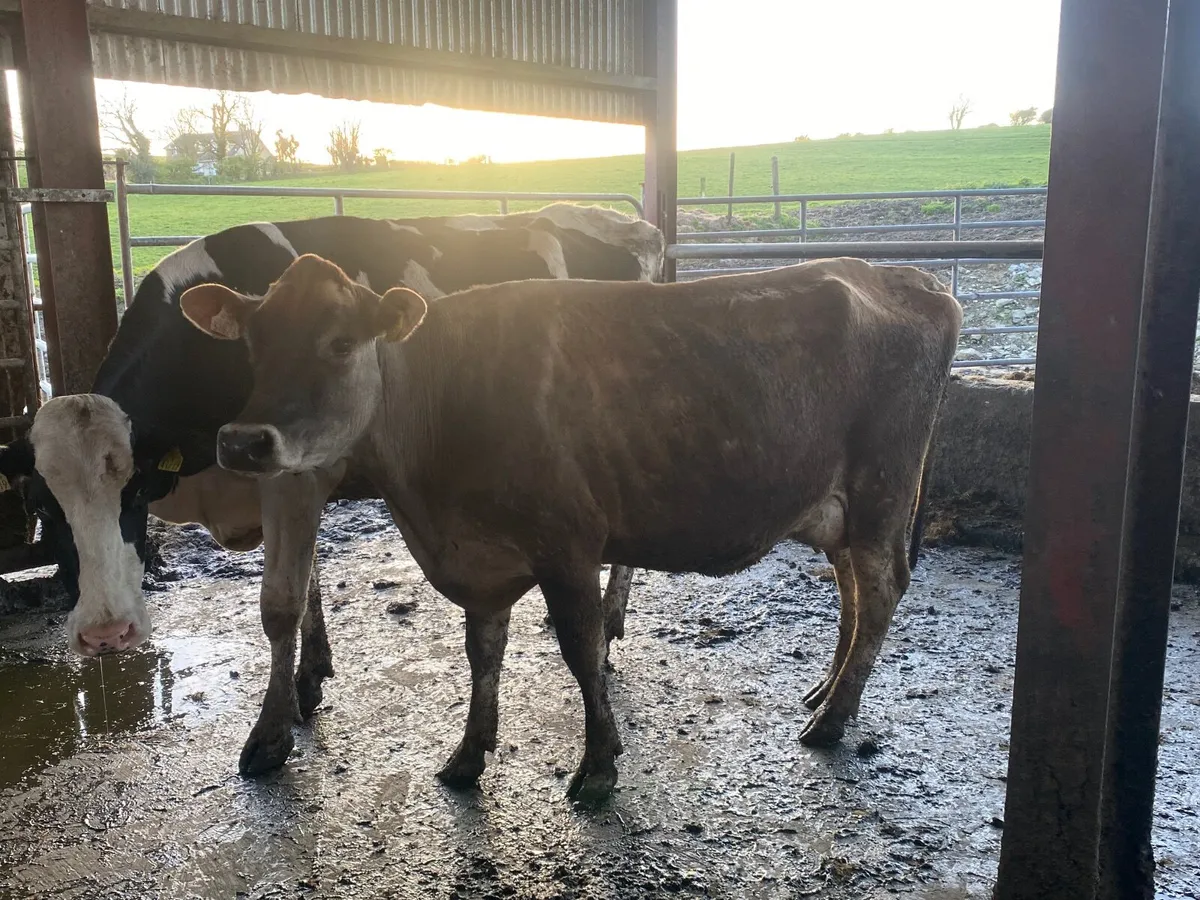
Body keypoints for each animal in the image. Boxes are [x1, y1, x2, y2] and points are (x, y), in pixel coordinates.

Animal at [0, 204, 660, 772]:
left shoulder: (294, 471)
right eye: (41, 507)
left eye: (136, 492)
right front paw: (309, 675)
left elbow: (279, 603)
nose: (106, 634)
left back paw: (609, 618)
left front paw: (269, 734)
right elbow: (309, 581)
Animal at [177, 253, 962, 802]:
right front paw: (468, 755)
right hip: (842, 508)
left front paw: (598, 767)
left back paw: (831, 722)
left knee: (881, 589)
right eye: (252, 343)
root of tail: (905, 276)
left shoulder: (569, 545)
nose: (243, 443)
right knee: (853, 589)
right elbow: (483, 653)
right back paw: (826, 694)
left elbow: (582, 654)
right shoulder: (482, 558)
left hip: (883, 488)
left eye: (340, 344)